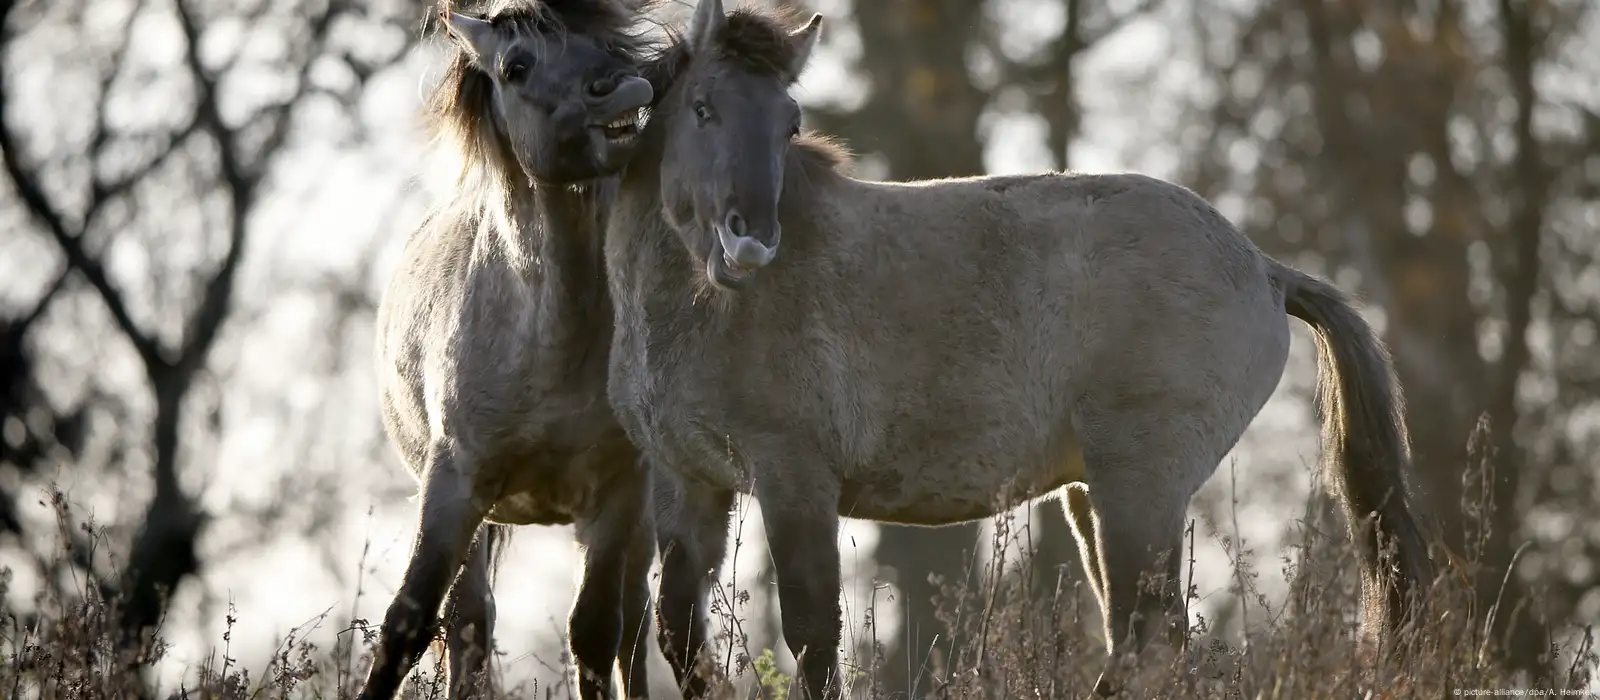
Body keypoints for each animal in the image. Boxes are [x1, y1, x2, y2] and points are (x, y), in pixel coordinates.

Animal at [608, 2, 1440, 696]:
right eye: (703, 108)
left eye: (788, 122)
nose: (750, 243)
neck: (704, 309)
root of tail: (1265, 268)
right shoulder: (690, 484)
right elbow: (680, 635)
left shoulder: (794, 479)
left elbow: (813, 639)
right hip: (1090, 494)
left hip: (1139, 485)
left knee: (1148, 638)